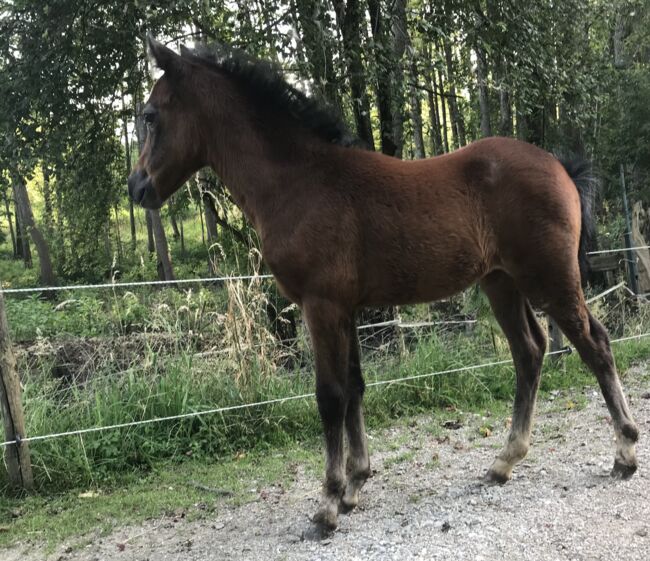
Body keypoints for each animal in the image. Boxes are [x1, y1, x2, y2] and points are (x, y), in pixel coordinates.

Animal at [128, 36, 636, 540]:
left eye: (150, 115)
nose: (137, 187)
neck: (300, 182)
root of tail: (561, 167)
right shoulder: (346, 309)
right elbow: (355, 386)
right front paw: (355, 485)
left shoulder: (321, 306)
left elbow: (330, 395)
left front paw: (328, 505)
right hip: (502, 284)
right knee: (530, 350)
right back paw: (503, 463)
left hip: (550, 279)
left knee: (595, 344)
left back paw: (625, 453)